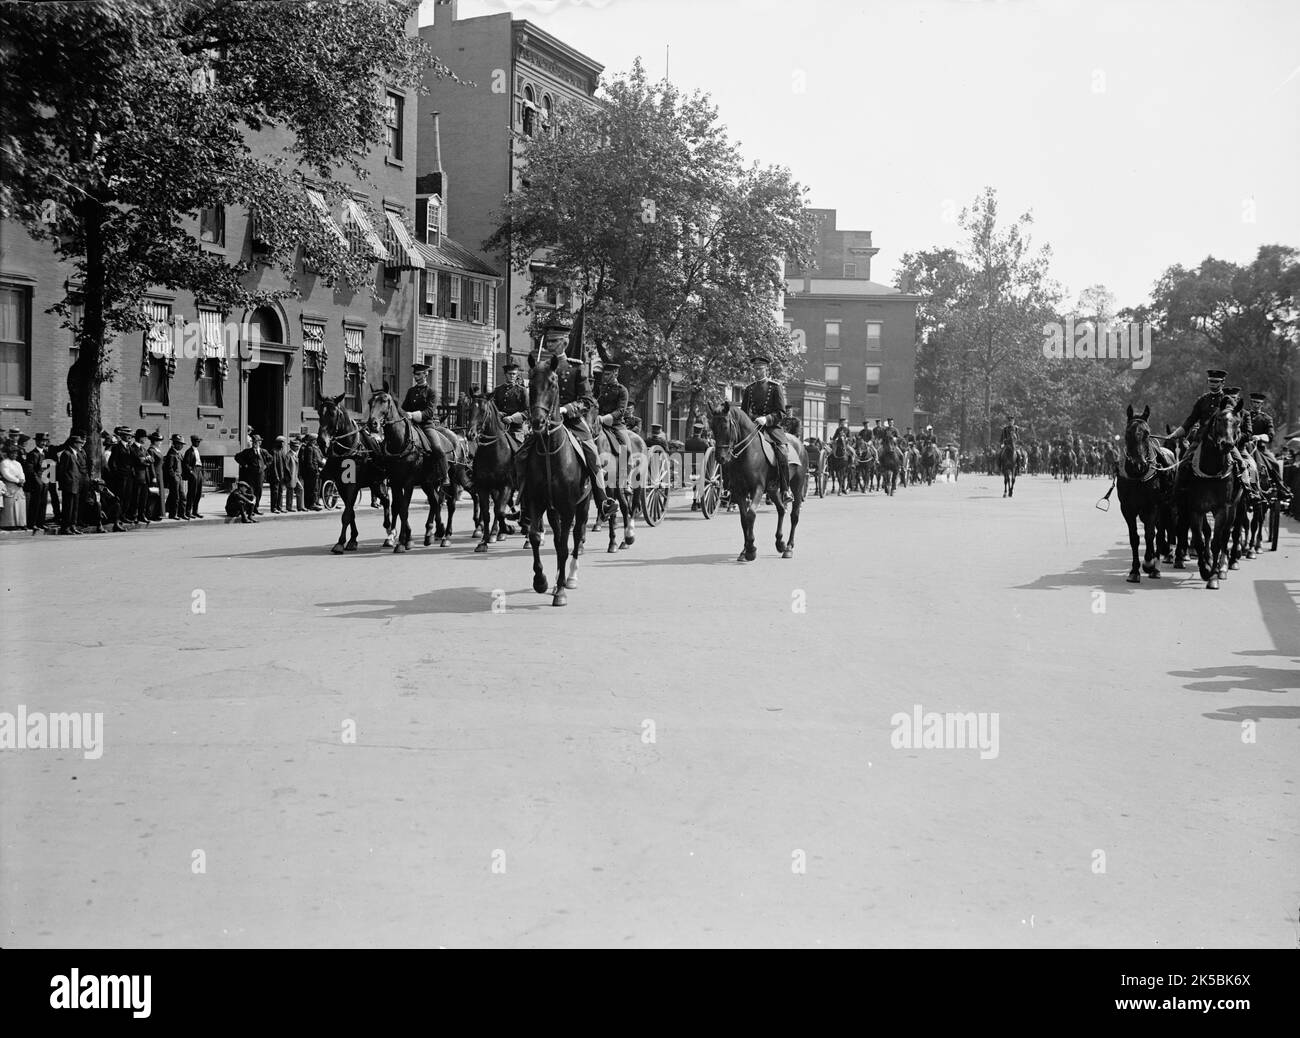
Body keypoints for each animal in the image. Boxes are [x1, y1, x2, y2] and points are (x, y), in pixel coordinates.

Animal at [318, 392, 392, 551]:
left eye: (333, 413)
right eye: (319, 412)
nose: (321, 442)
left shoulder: (353, 486)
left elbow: (347, 513)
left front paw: (340, 542)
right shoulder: (340, 485)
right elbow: (350, 512)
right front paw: (352, 539)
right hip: (376, 482)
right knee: (386, 500)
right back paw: (389, 532)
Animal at [366, 390, 452, 551]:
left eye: (385, 400)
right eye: (370, 402)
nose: (372, 423)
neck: (399, 442)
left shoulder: (408, 482)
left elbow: (404, 509)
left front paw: (401, 542)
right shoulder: (395, 482)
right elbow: (399, 508)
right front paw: (406, 538)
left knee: (443, 502)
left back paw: (442, 534)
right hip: (427, 483)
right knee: (435, 501)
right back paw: (432, 533)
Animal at [522, 353, 595, 606]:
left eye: (553, 383)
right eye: (530, 385)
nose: (537, 422)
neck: (549, 452)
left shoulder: (569, 506)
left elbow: (564, 546)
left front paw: (561, 591)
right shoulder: (536, 501)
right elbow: (536, 537)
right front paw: (541, 581)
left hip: (583, 505)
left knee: (577, 536)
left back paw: (569, 578)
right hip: (554, 511)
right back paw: (555, 580)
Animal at [707, 400, 806, 561]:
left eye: (725, 426)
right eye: (712, 427)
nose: (720, 458)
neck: (747, 453)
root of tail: (799, 443)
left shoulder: (757, 489)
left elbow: (751, 515)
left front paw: (751, 549)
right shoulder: (739, 491)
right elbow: (743, 519)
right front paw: (744, 550)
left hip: (797, 486)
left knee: (794, 515)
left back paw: (789, 547)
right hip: (773, 489)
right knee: (781, 509)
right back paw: (780, 542)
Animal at [1112, 405, 1175, 585]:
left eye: (1147, 433)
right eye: (1128, 432)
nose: (1138, 464)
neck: (1138, 477)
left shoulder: (1152, 506)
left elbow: (1149, 534)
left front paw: (1148, 562)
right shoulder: (1127, 508)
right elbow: (1134, 537)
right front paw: (1134, 571)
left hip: (1166, 507)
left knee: (1159, 533)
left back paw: (1156, 566)